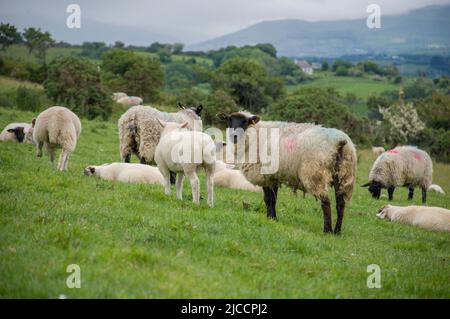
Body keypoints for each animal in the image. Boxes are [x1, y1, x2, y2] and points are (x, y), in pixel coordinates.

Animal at [216, 111, 356, 234]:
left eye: (244, 122)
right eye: (229, 119)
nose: (234, 136)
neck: (254, 134)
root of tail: (340, 142)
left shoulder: (264, 174)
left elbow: (268, 199)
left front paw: (270, 218)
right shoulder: (273, 176)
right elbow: (273, 199)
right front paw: (273, 218)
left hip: (316, 174)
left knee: (326, 202)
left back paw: (327, 230)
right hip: (344, 175)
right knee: (340, 204)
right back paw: (337, 231)